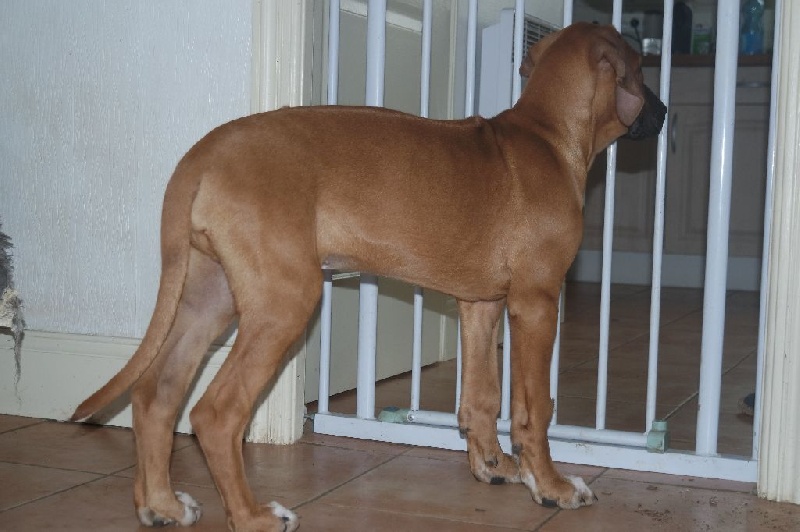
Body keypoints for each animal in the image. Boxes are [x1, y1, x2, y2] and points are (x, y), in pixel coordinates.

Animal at [72, 22, 666, 531]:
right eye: (642, 70)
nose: (665, 114)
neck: (545, 132)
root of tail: (203, 152)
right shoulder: (537, 303)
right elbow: (533, 408)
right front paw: (551, 486)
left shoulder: (480, 306)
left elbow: (481, 397)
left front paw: (494, 466)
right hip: (285, 300)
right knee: (216, 414)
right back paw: (254, 515)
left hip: (208, 298)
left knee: (156, 395)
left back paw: (162, 505)